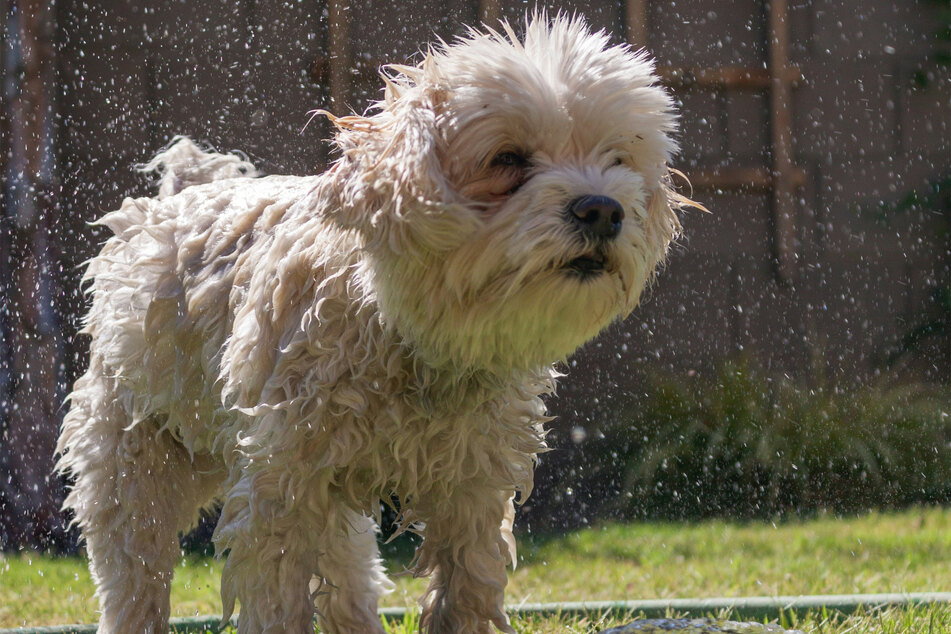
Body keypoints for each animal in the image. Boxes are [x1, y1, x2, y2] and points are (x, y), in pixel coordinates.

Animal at [54, 13, 692, 632]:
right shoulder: (279, 489)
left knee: (349, 574)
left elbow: (466, 590)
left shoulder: (473, 486)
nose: (603, 209)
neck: (408, 336)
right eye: (508, 159)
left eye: (617, 160)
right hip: (134, 465)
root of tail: (177, 199)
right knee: (134, 574)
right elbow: (279, 602)